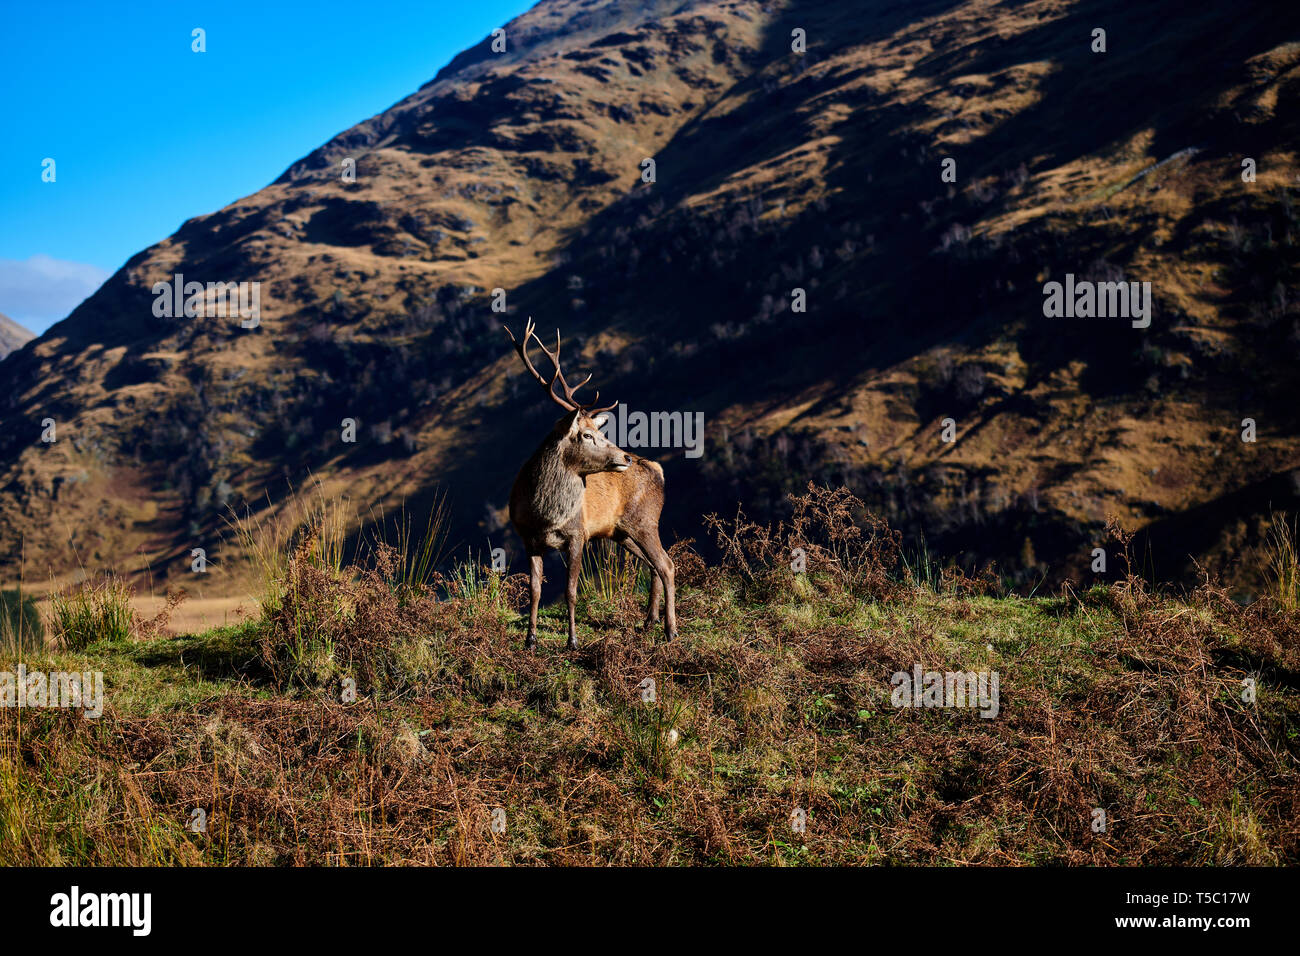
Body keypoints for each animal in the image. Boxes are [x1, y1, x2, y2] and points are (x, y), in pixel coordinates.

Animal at [504, 318, 677, 651]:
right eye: (586, 434)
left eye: (599, 432)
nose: (625, 456)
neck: (544, 514)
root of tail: (658, 470)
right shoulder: (528, 539)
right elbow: (535, 590)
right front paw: (530, 639)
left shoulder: (578, 534)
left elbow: (571, 591)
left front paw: (572, 640)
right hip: (621, 532)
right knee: (652, 566)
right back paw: (648, 622)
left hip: (646, 521)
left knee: (667, 564)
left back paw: (671, 630)